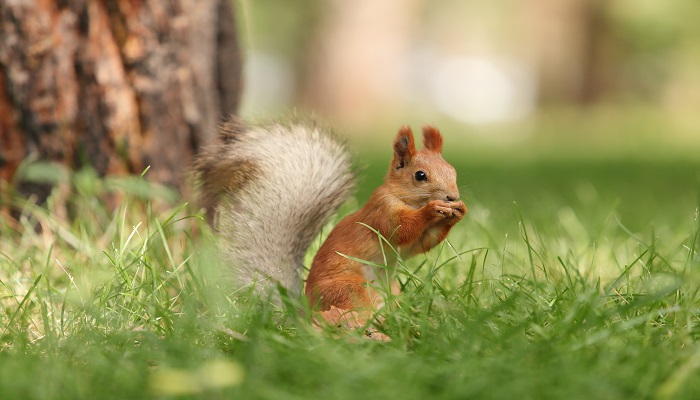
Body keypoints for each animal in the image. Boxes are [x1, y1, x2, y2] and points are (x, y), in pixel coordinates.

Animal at [194, 117, 468, 332]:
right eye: (420, 176)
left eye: (453, 171)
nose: (452, 196)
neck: (405, 198)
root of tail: (305, 309)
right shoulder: (382, 212)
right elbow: (403, 230)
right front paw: (431, 210)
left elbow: (420, 244)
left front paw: (459, 212)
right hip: (349, 289)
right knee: (353, 312)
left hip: (387, 289)